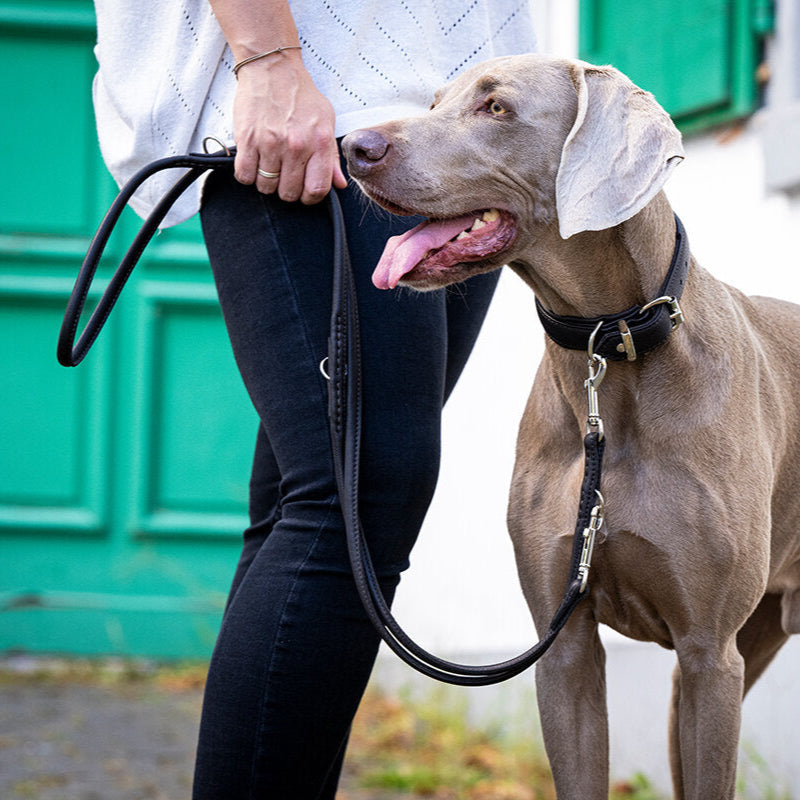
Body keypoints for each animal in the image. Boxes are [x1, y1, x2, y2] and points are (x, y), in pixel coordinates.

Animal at [340, 53, 800, 796]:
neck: (607, 350)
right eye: (435, 103)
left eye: (496, 108)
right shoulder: (566, 645)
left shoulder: (709, 652)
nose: (351, 147)